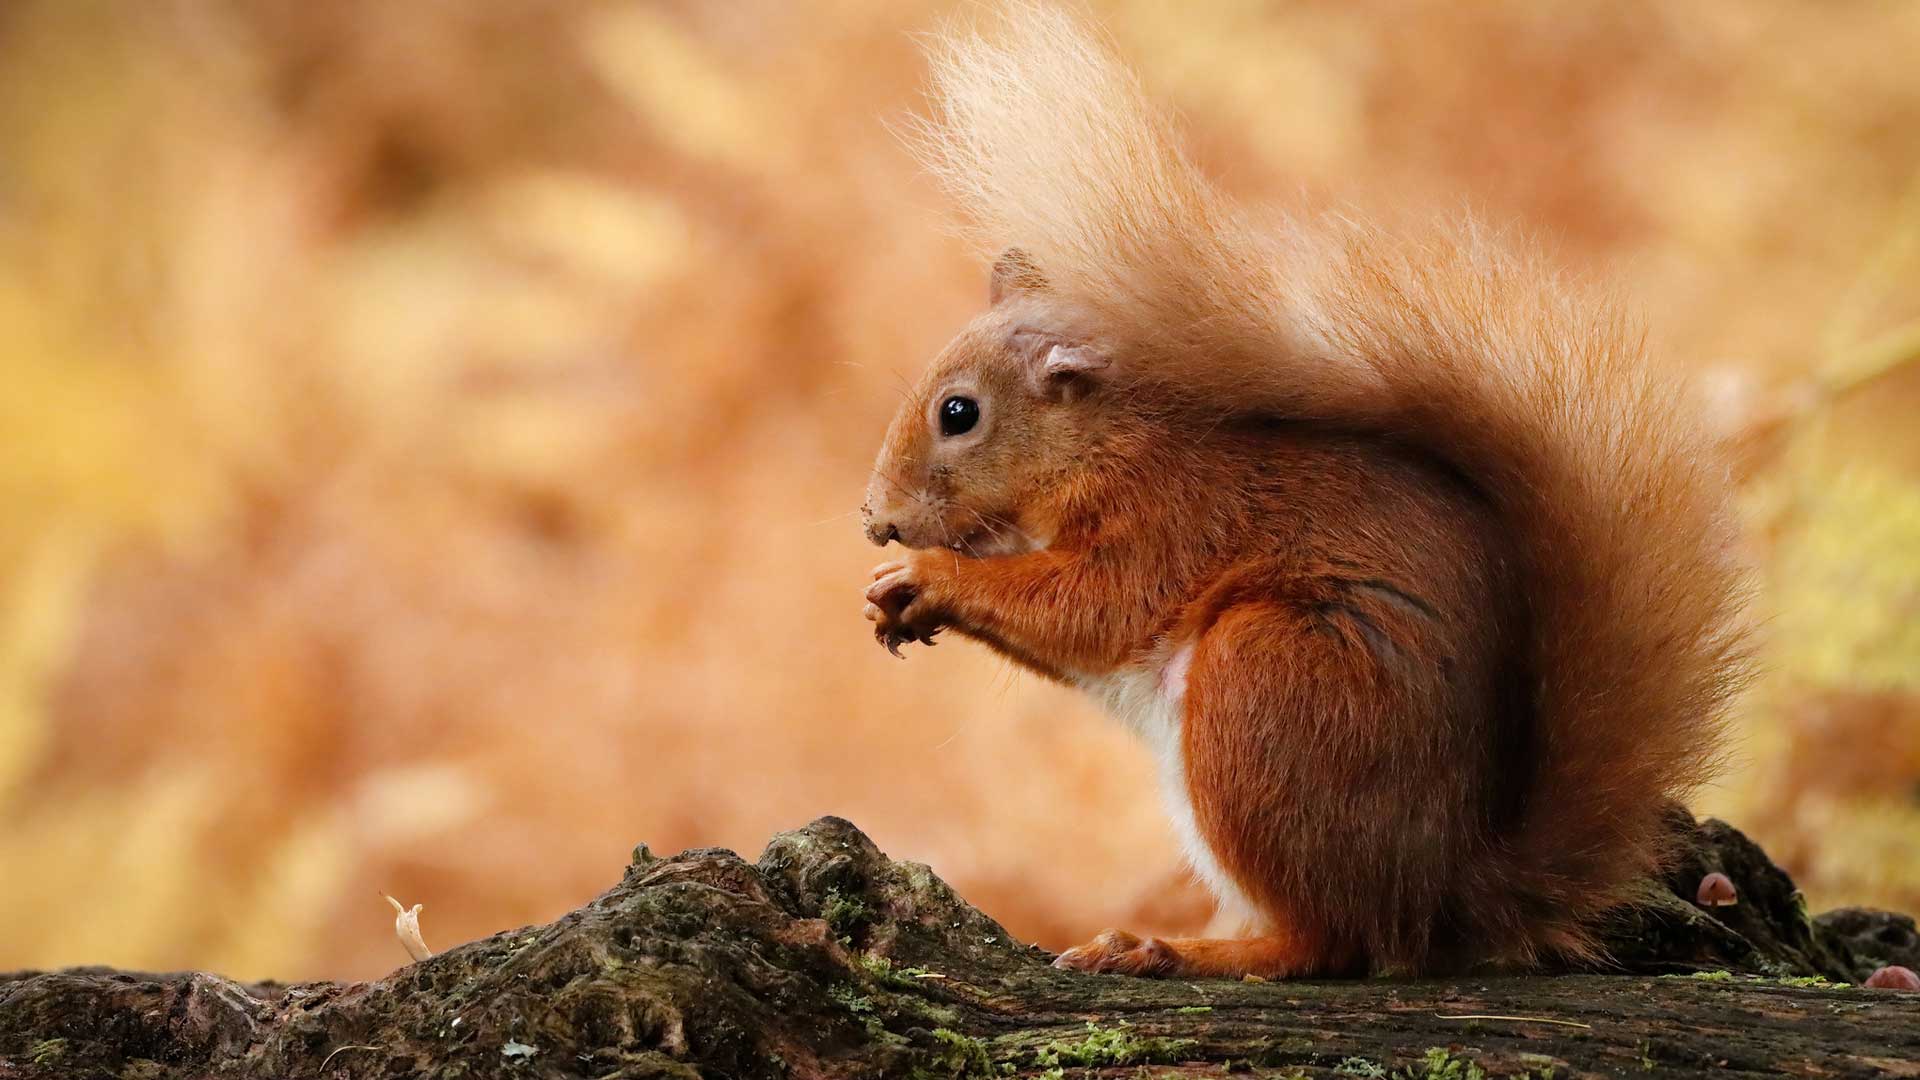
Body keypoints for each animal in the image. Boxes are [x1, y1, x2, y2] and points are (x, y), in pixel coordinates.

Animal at [856, 2, 1758, 976]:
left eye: (958, 413)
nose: (875, 520)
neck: (1100, 444)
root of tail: (1442, 901)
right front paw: (891, 599)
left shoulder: (1170, 517)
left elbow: (1090, 606)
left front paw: (930, 579)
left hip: (1268, 685)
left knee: (1327, 943)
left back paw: (1175, 951)